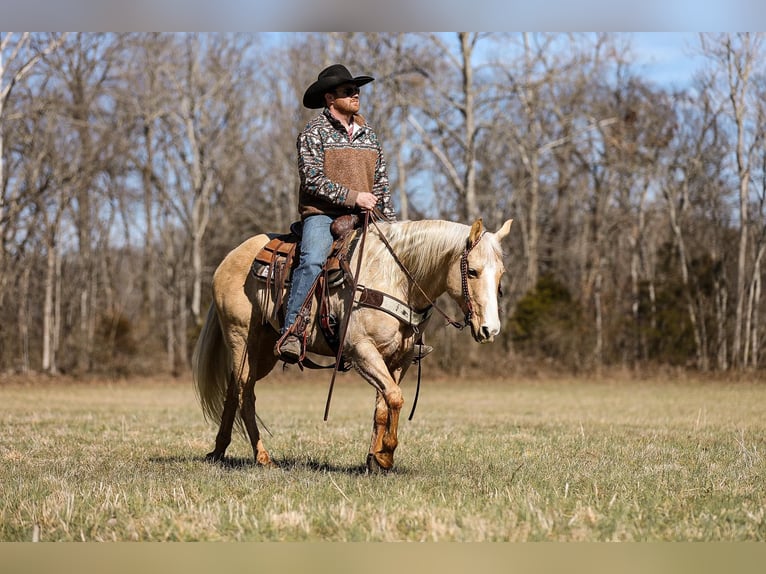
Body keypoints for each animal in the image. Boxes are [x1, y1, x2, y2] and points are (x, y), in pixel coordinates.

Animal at [192, 216, 516, 472]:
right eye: (472, 271)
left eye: (501, 274)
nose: (490, 329)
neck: (395, 278)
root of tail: (228, 259)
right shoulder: (361, 351)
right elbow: (395, 398)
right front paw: (385, 455)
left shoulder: (398, 360)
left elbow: (383, 405)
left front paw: (374, 459)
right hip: (242, 337)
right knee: (245, 393)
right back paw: (262, 457)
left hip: (263, 351)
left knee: (233, 389)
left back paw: (218, 451)